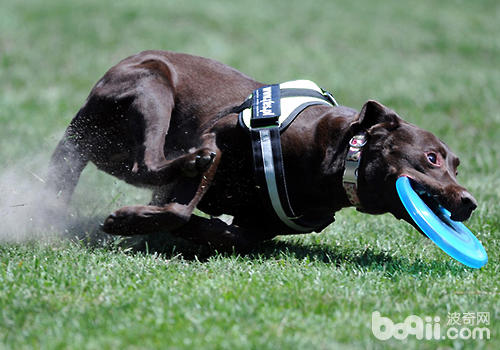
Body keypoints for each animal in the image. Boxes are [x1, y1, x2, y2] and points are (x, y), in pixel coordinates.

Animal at [47, 50, 476, 250]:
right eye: (432, 158)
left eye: (456, 165)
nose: (470, 202)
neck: (337, 163)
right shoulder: (217, 135)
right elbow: (181, 204)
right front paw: (126, 221)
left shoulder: (259, 224)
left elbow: (226, 233)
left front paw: (193, 228)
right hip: (153, 88)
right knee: (148, 163)